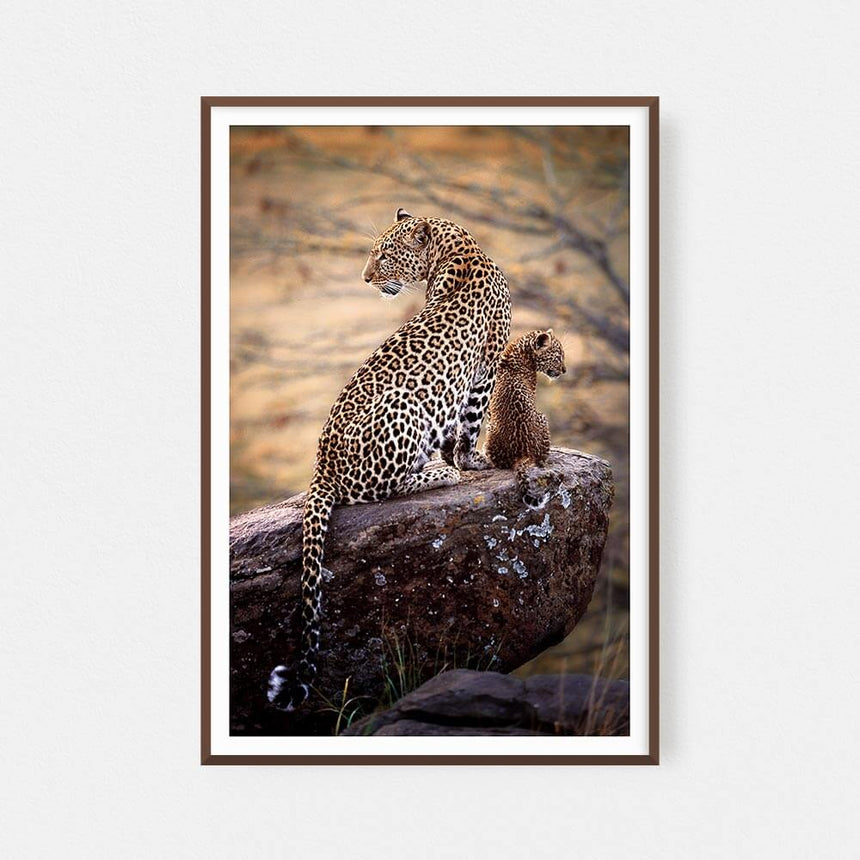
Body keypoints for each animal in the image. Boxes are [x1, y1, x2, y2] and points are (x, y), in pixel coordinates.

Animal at [267, 208, 512, 711]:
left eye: (383, 254)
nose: (364, 278)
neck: (458, 250)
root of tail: (321, 465)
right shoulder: (484, 371)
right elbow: (470, 424)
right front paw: (470, 462)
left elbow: (460, 426)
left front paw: (462, 456)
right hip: (403, 406)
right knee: (382, 489)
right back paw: (438, 475)